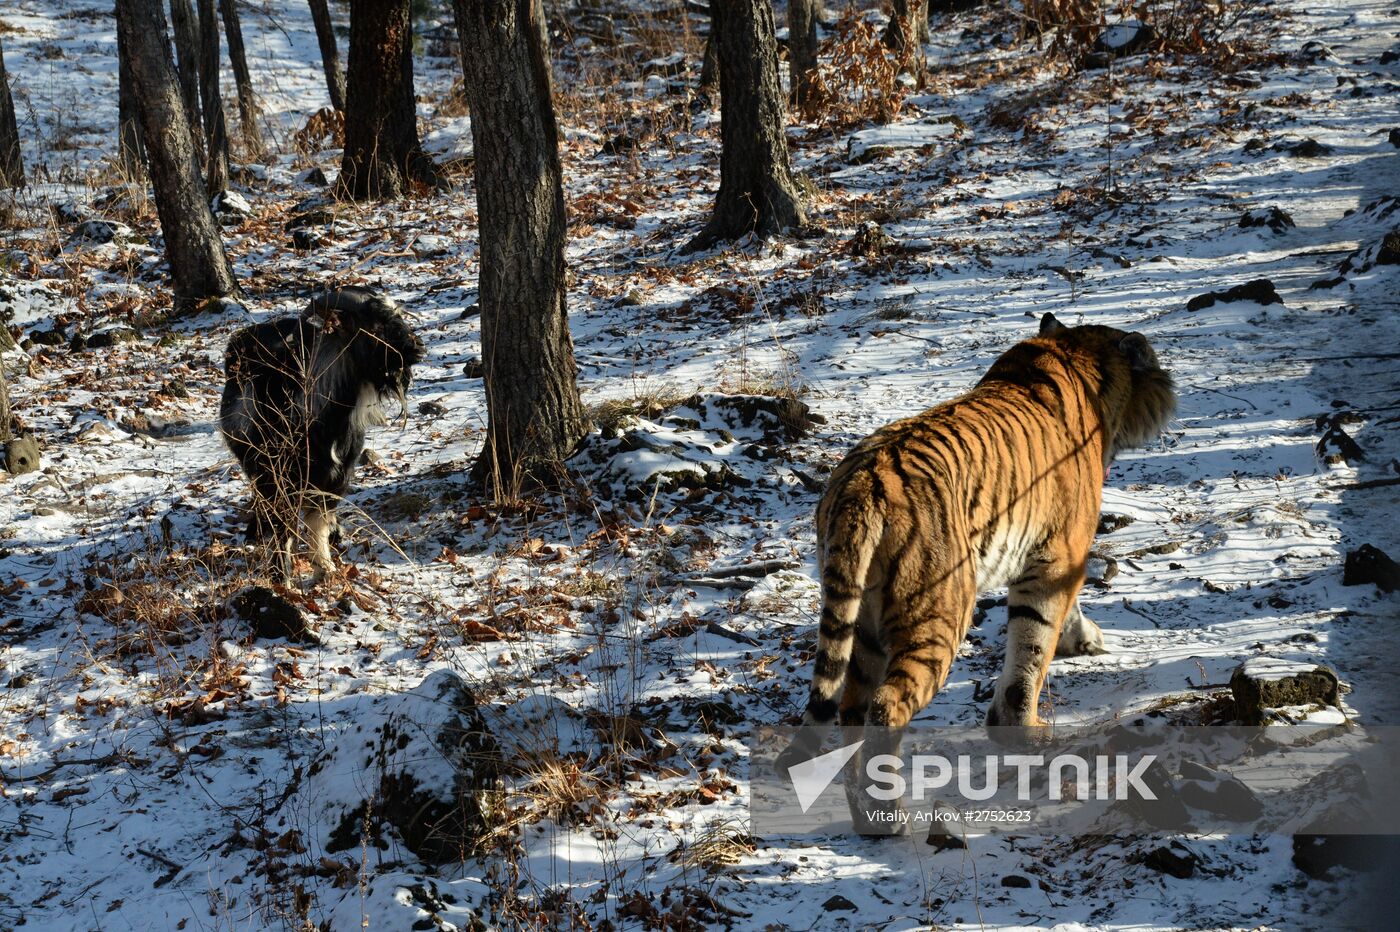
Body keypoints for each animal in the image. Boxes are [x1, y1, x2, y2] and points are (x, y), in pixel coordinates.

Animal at [219, 286, 424, 579]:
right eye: (375, 325)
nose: (417, 348)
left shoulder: (336, 476)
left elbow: (319, 522)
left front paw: (325, 567)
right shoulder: (283, 479)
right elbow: (285, 528)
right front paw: (281, 576)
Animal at [777, 313, 1176, 827]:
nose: (1168, 386)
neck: (1075, 354)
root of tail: (860, 485)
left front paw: (1082, 639)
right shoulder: (1057, 557)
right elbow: (1032, 647)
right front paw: (1022, 727)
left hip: (862, 621)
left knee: (850, 708)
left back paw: (867, 819)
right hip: (938, 613)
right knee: (886, 707)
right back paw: (892, 820)